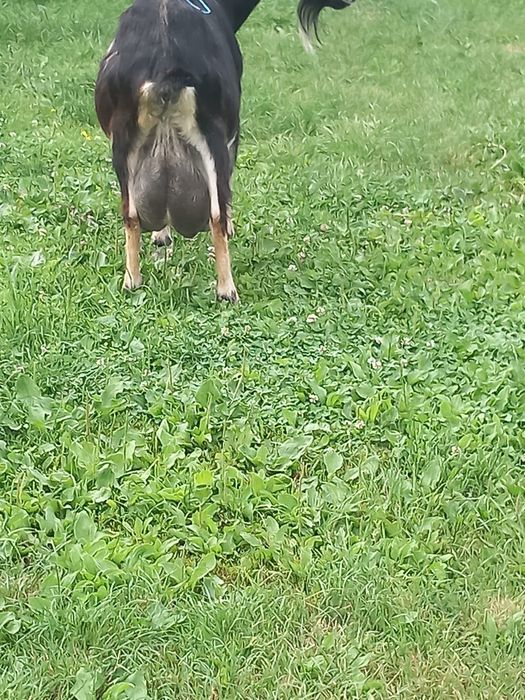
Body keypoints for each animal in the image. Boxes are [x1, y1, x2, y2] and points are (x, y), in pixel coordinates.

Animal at [95, 0, 354, 301]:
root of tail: (165, 66)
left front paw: (161, 236)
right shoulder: (234, 133)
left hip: (124, 145)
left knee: (131, 215)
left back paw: (132, 281)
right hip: (213, 137)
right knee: (216, 213)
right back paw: (226, 290)